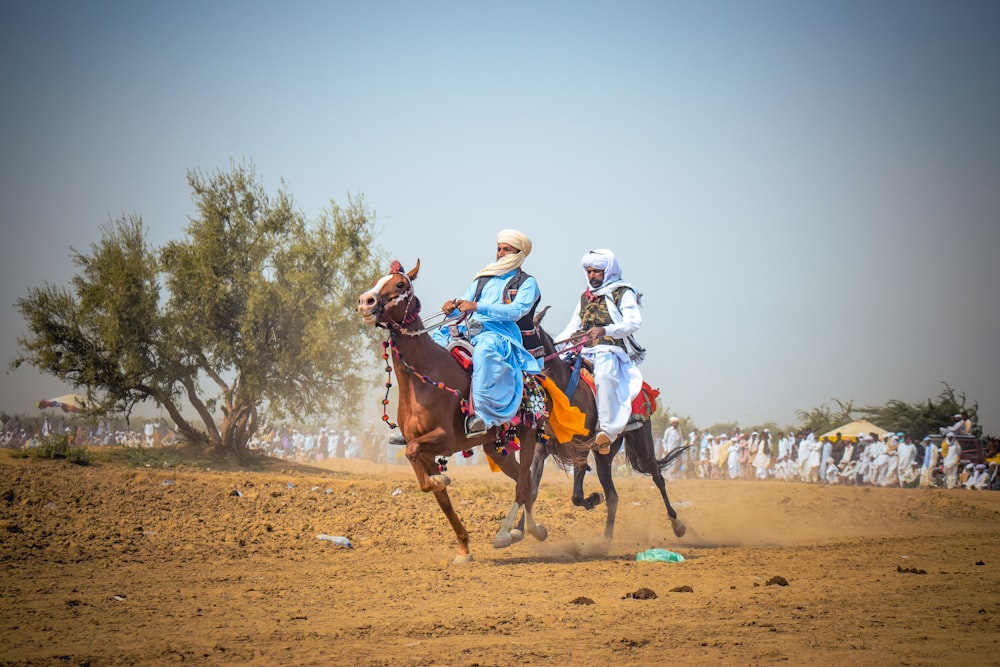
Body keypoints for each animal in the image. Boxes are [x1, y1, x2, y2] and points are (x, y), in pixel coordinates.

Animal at [358, 260, 580, 564]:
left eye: (400, 284)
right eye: (377, 281)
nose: (365, 302)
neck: (424, 377)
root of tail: (534, 376)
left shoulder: (445, 440)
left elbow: (416, 457)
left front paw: (441, 478)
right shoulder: (426, 450)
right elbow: (439, 496)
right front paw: (463, 547)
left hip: (528, 436)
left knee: (524, 486)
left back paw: (506, 534)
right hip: (495, 447)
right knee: (524, 485)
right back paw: (531, 530)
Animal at [524, 310, 688, 544]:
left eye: (526, 331)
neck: (562, 391)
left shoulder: (580, 448)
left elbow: (576, 496)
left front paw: (593, 498)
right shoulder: (543, 448)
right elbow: (533, 492)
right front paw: (534, 530)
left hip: (642, 445)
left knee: (657, 477)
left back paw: (677, 524)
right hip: (605, 455)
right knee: (613, 496)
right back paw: (606, 540)